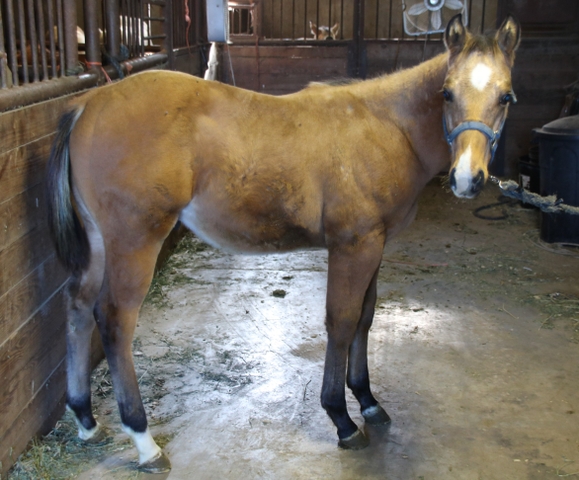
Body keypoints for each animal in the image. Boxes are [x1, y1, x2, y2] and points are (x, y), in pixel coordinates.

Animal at [46, 14, 520, 472]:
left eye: (506, 97)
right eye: (446, 93)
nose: (467, 179)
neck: (385, 126)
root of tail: (87, 104)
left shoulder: (376, 244)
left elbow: (366, 317)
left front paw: (368, 401)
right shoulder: (353, 245)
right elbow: (342, 322)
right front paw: (342, 418)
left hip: (99, 243)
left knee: (78, 307)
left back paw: (86, 421)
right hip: (134, 240)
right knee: (114, 320)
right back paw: (144, 442)